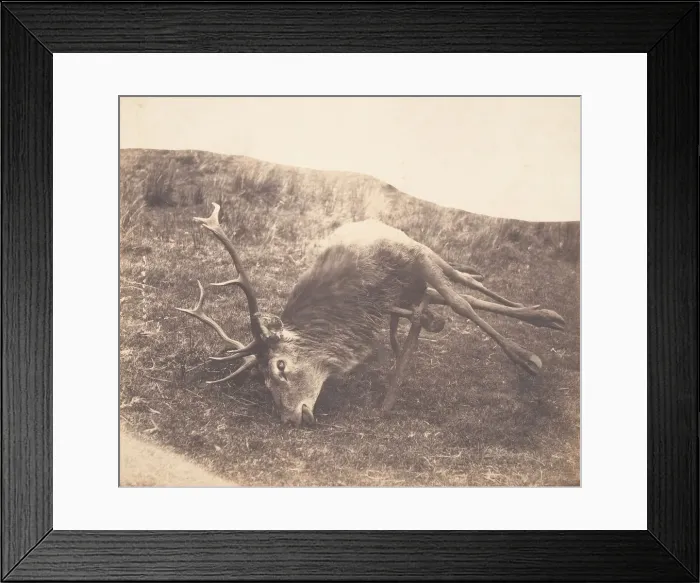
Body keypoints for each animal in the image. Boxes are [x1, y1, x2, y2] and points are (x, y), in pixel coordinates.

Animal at [176, 203, 566, 428]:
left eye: (280, 366)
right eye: (262, 381)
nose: (289, 418)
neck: (358, 296)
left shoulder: (415, 255)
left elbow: (462, 303)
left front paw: (526, 357)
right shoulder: (394, 298)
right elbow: (449, 305)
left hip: (424, 255)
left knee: (463, 282)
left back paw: (545, 315)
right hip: (413, 287)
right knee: (445, 294)